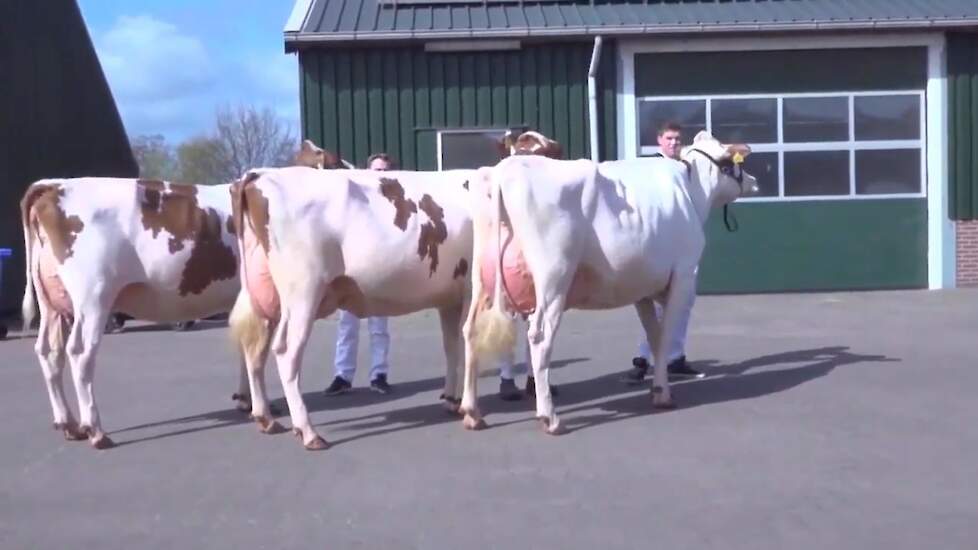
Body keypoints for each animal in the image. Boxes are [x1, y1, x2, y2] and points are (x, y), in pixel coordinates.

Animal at [462, 132, 760, 434]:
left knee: (471, 331)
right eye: (730, 161)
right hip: (553, 279)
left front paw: (657, 390)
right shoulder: (684, 276)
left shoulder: (643, 288)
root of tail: (502, 171)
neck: (690, 190)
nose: (753, 180)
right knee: (540, 337)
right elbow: (666, 337)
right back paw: (550, 417)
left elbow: (653, 338)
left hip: (481, 280)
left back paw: (472, 413)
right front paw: (664, 393)